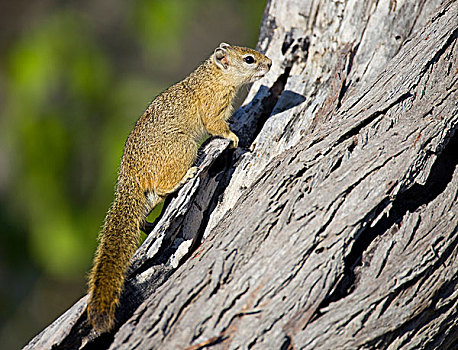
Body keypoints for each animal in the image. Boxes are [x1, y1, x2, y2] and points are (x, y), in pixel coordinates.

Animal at [87, 43, 270, 334]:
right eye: (249, 59)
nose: (271, 63)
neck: (213, 77)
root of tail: (130, 177)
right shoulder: (212, 108)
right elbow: (216, 126)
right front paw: (232, 137)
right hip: (182, 148)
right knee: (163, 187)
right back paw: (186, 177)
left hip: (149, 196)